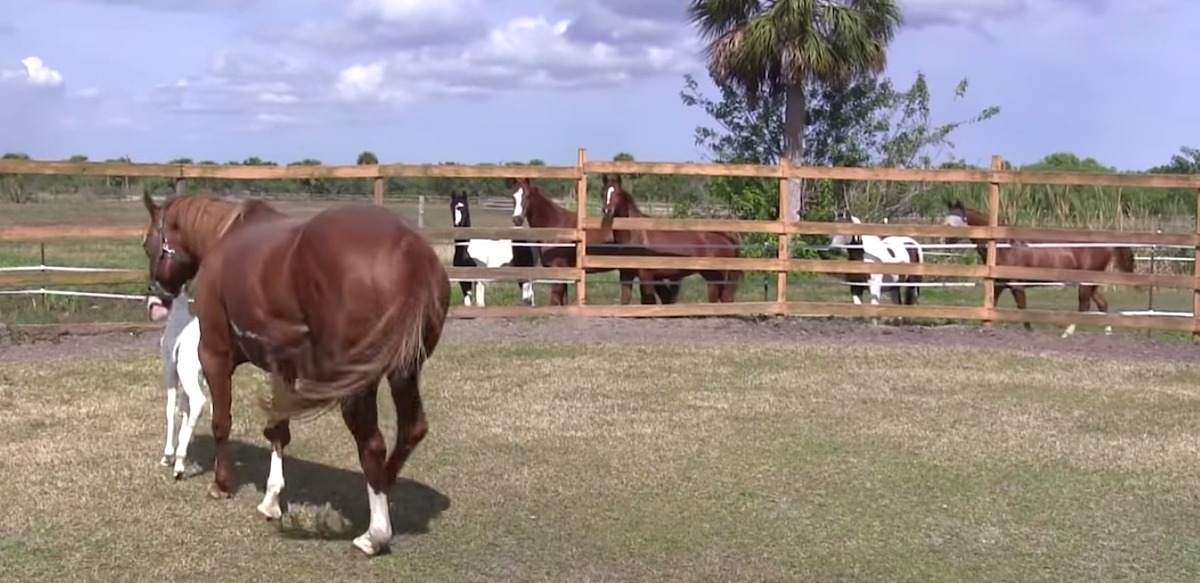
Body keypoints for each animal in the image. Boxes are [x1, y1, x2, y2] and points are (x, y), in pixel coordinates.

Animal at [146, 287, 207, 481]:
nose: (149, 292)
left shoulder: (171, 373)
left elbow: (171, 410)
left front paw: (168, 455)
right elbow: (185, 410)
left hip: (188, 377)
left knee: (199, 401)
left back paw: (179, 465)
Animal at [597, 174, 741, 303]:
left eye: (618, 193)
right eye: (603, 192)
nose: (607, 210)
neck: (635, 235)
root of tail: (729, 239)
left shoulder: (646, 276)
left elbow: (648, 302)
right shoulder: (626, 276)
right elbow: (625, 301)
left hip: (714, 276)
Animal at [942, 200, 1134, 337]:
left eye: (958, 221)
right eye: (946, 219)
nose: (945, 240)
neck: (1003, 246)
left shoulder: (1016, 285)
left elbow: (1022, 306)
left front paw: (1029, 329)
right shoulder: (999, 284)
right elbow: (993, 304)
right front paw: (986, 327)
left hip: (1085, 283)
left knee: (1084, 305)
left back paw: (1067, 332)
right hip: (1093, 283)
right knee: (1102, 303)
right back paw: (1107, 332)